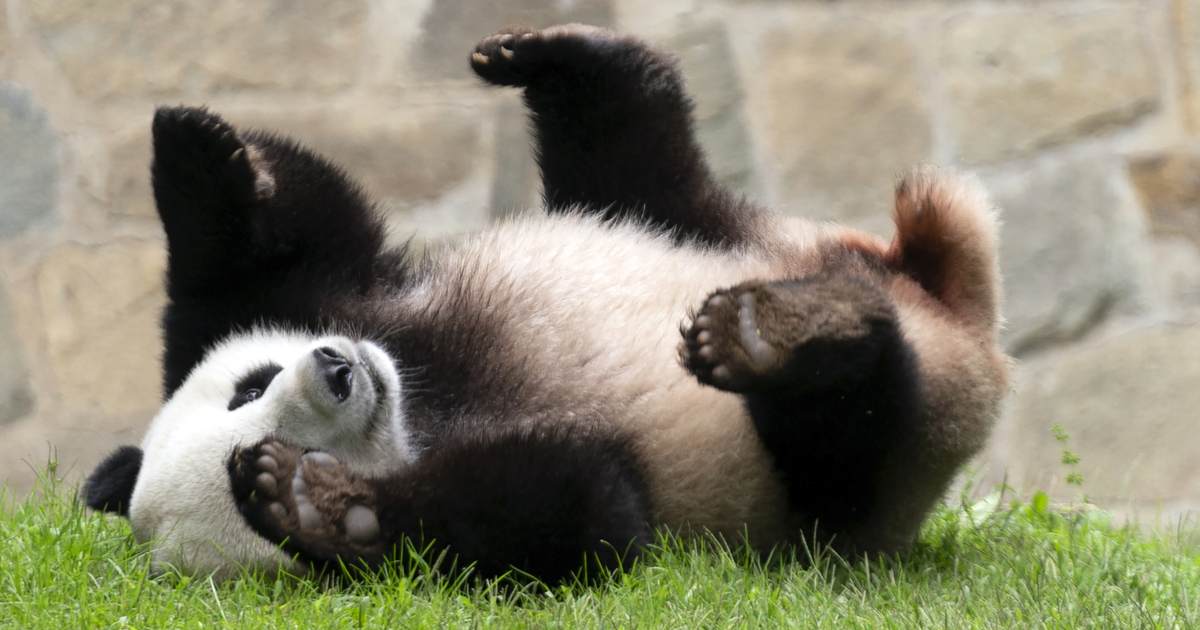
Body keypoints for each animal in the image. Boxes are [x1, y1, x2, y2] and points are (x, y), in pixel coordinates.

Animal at [82, 24, 1009, 583]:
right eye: (269, 425)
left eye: (249, 386)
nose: (339, 371)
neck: (423, 399)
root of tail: (953, 312)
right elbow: (581, 515)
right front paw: (318, 505)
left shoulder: (346, 300)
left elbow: (287, 247)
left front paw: (195, 152)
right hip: (855, 483)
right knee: (851, 430)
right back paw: (782, 338)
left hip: (719, 229)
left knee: (640, 161)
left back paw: (561, 60)